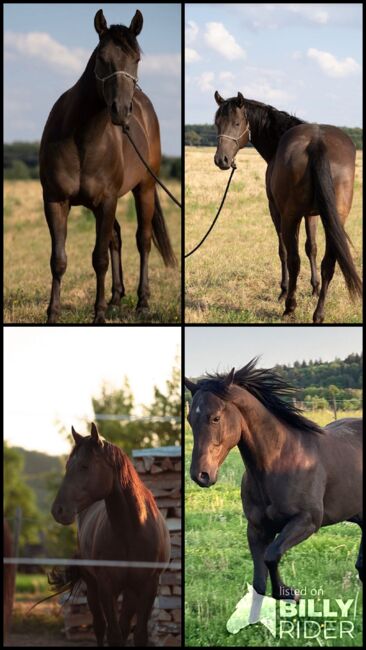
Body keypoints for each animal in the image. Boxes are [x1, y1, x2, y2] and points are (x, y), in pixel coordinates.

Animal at [39, 8, 177, 322]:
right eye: (102, 57)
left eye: (136, 59)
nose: (121, 111)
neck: (81, 139)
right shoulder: (55, 200)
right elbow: (58, 260)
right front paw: (53, 313)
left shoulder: (107, 201)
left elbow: (99, 259)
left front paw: (99, 313)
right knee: (116, 238)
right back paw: (116, 298)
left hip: (144, 189)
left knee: (142, 241)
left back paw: (142, 302)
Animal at [50, 420, 170, 644]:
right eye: (67, 466)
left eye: (85, 466)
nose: (58, 510)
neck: (132, 531)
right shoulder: (106, 587)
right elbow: (113, 634)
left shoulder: (147, 587)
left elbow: (138, 634)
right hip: (93, 585)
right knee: (99, 625)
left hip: (130, 592)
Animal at [186, 360, 364, 596]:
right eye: (189, 419)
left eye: (215, 417)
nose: (201, 474)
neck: (279, 464)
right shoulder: (257, 529)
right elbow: (259, 584)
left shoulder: (307, 521)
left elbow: (271, 556)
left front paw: (289, 594)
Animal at [213, 91, 362, 322]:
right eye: (217, 124)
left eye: (237, 123)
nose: (222, 160)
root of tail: (317, 143)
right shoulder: (313, 214)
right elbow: (312, 248)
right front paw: (314, 288)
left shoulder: (277, 210)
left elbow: (283, 250)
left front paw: (283, 291)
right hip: (335, 218)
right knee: (328, 263)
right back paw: (318, 314)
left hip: (291, 215)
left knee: (294, 260)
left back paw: (290, 306)